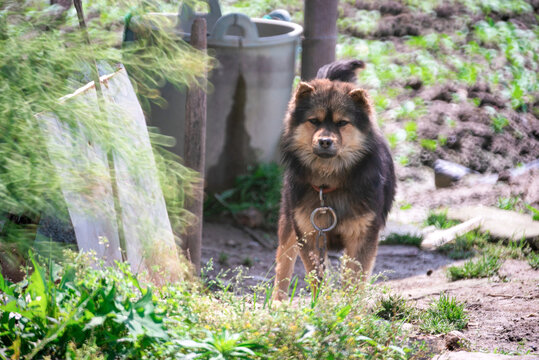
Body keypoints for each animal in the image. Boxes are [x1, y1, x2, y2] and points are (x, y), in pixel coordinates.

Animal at [274, 59, 396, 300]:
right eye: (314, 121)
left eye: (342, 123)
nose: (325, 141)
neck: (328, 183)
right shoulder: (309, 233)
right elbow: (316, 278)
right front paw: (321, 305)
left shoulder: (362, 236)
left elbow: (354, 281)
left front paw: (349, 307)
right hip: (288, 222)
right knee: (283, 266)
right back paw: (277, 303)